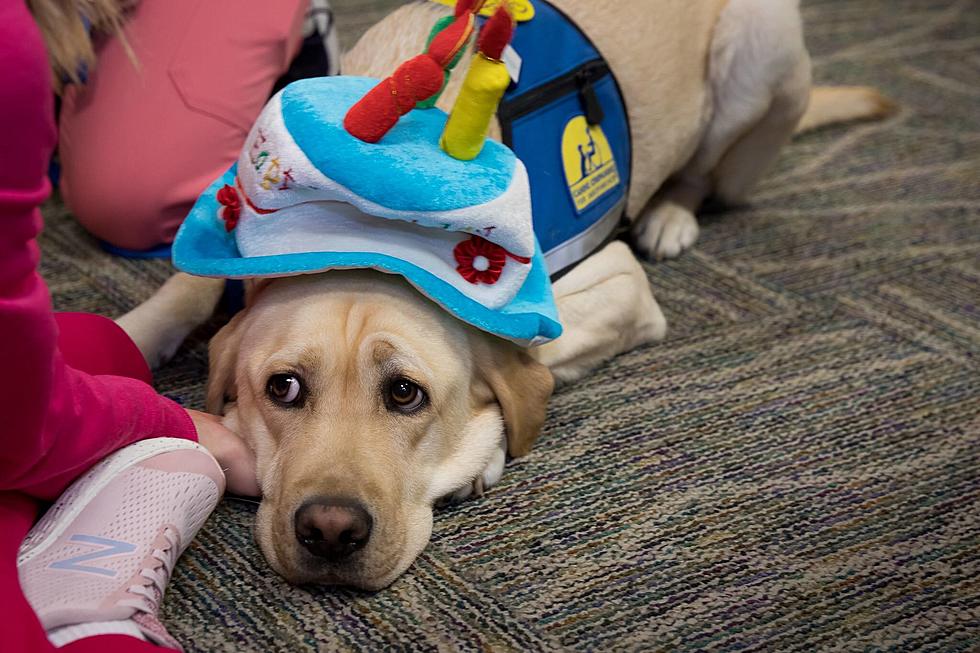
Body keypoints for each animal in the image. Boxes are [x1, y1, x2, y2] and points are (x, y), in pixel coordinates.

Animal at [118, 0, 892, 588]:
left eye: (406, 394)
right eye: (281, 388)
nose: (330, 531)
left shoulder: (620, 286)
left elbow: (525, 362)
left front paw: (479, 454)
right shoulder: (233, 227)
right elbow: (185, 290)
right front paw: (123, 339)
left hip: (759, 50)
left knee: (703, 174)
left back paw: (672, 213)